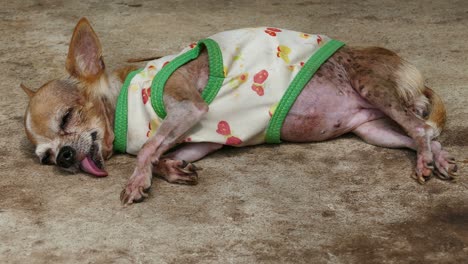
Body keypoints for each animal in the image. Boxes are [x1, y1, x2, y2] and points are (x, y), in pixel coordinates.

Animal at [21, 17, 458, 205]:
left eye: (67, 118)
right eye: (44, 158)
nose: (62, 156)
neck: (129, 100)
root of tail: (413, 73)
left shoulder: (189, 107)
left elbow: (147, 148)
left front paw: (138, 179)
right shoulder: (203, 138)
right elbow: (162, 151)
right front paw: (173, 169)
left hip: (375, 90)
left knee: (422, 130)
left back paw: (425, 160)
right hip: (373, 130)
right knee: (425, 133)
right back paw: (439, 159)